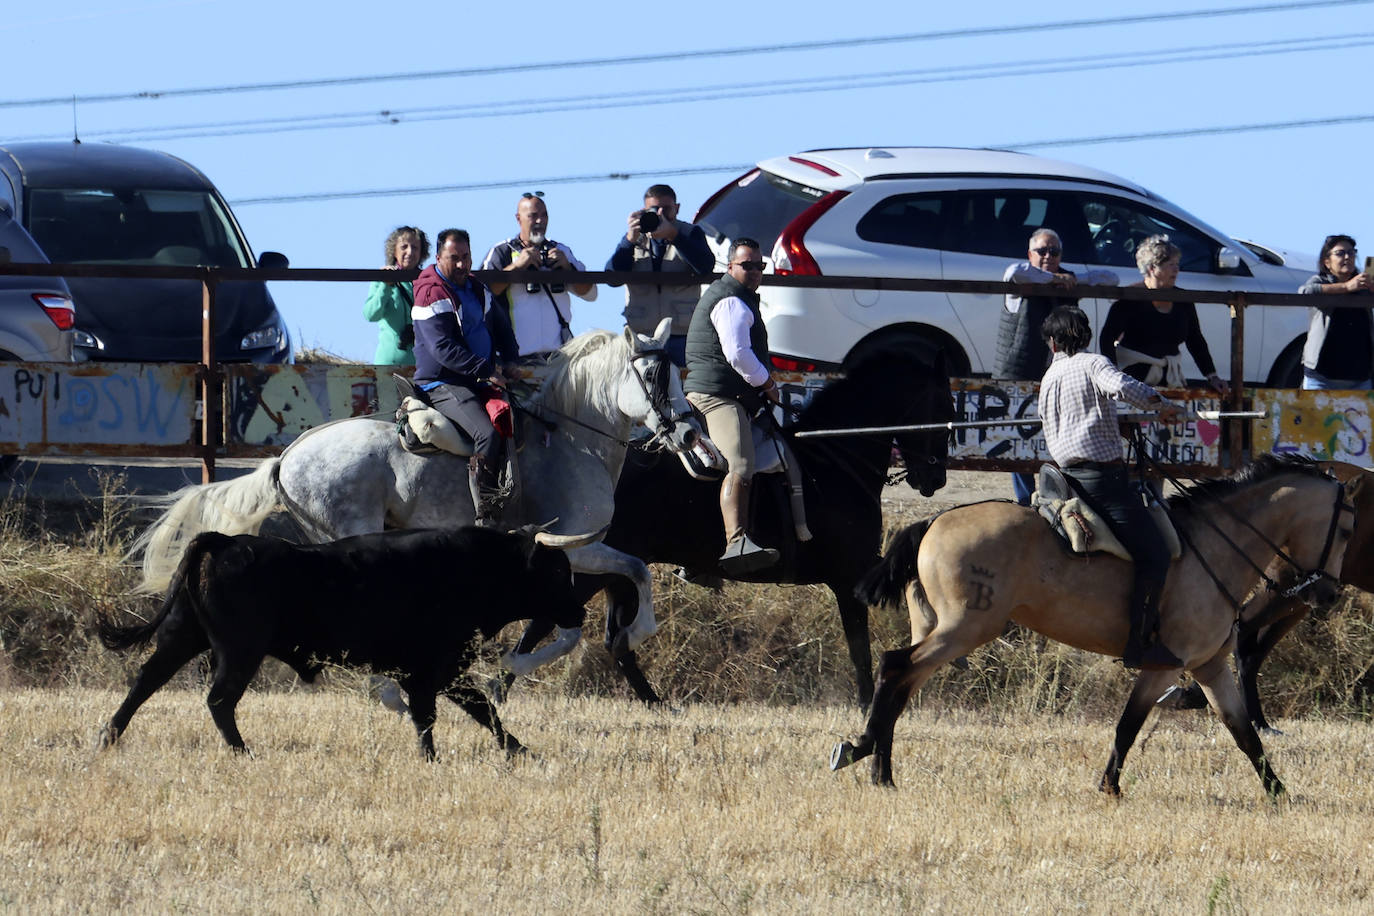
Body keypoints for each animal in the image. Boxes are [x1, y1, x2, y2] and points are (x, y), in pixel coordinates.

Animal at [95, 521, 590, 758]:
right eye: (556, 572)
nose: (580, 611)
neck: (478, 567)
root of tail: (226, 541)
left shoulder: (446, 670)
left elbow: (482, 709)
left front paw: (521, 751)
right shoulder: (428, 670)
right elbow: (431, 716)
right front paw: (431, 758)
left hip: (182, 637)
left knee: (145, 681)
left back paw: (107, 737)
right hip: (239, 651)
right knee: (218, 700)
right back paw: (243, 752)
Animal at [131, 322, 697, 672]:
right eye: (652, 374)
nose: (690, 433)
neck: (572, 440)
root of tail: (285, 458)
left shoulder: (573, 553)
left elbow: (603, 595)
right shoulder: (578, 546)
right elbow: (633, 574)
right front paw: (630, 635)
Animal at [829, 455, 1357, 796]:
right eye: (1348, 529)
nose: (1329, 594)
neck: (1214, 548)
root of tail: (935, 520)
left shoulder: (1210, 666)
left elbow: (1243, 731)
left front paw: (1280, 794)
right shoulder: (1165, 666)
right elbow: (1128, 725)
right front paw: (1110, 787)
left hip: (937, 628)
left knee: (902, 684)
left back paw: (880, 771)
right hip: (962, 629)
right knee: (895, 668)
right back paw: (861, 752)